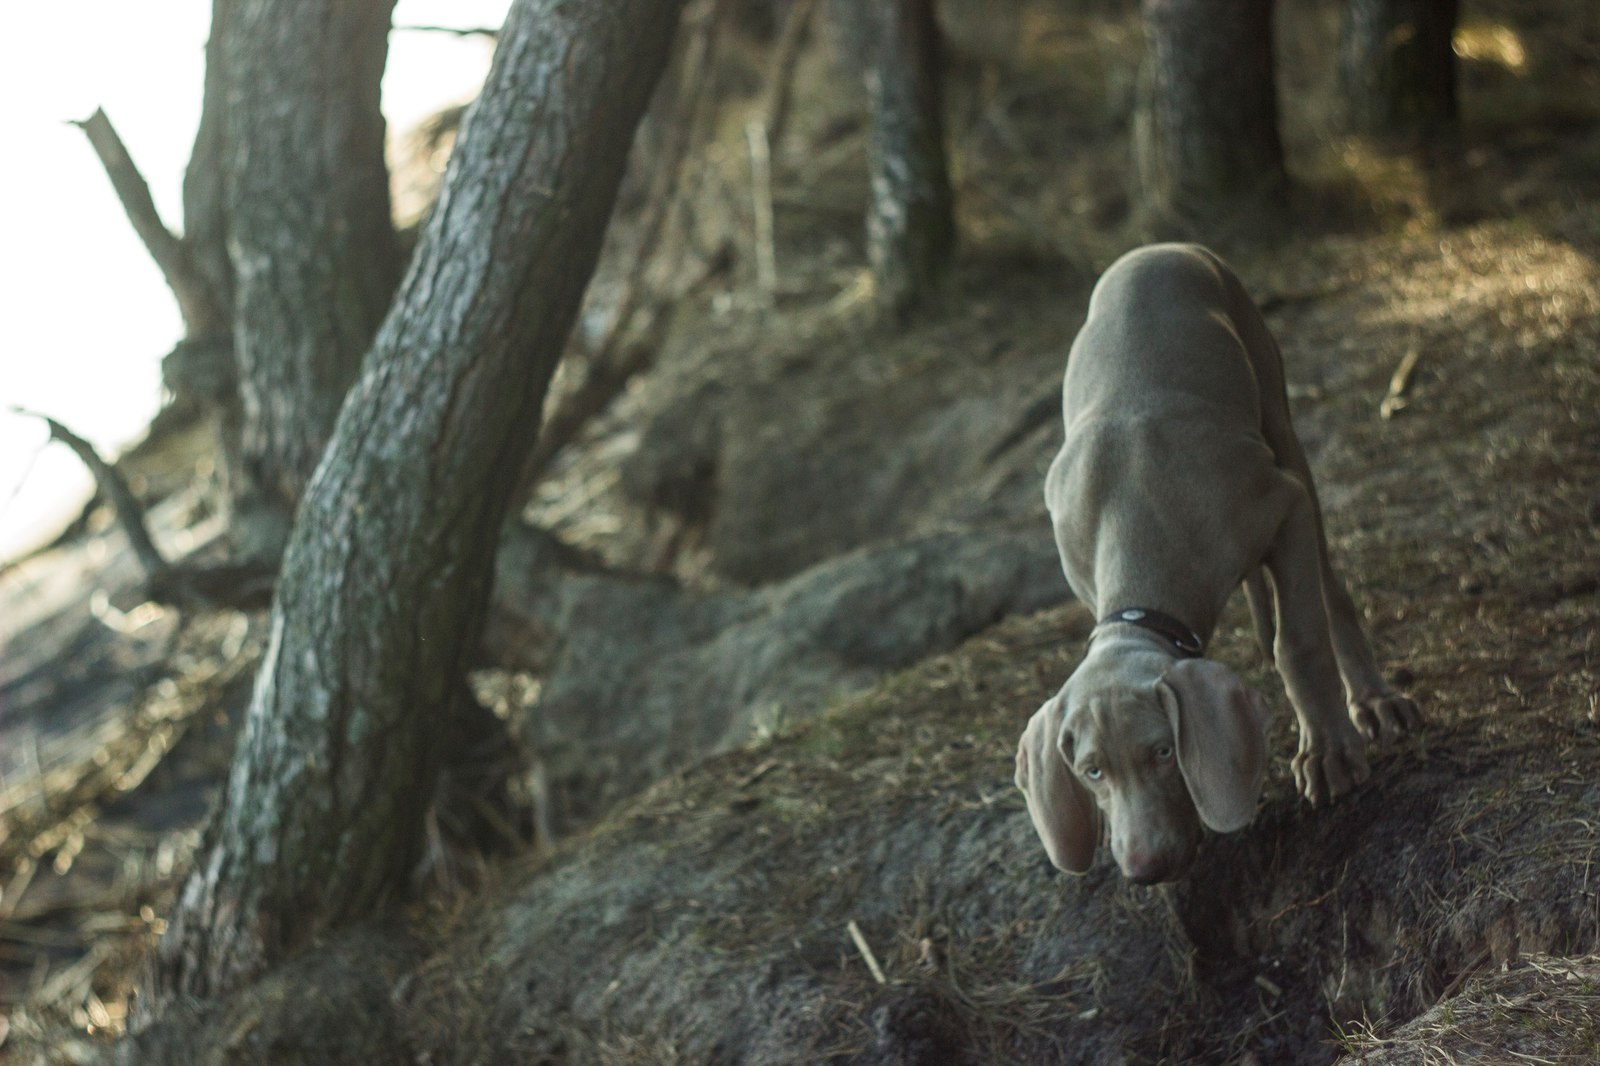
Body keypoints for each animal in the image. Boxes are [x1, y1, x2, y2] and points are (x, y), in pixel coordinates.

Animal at [1017, 240, 1420, 877]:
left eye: (1163, 752)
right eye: (1092, 771)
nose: (1147, 868)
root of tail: (1160, 246)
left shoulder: (1284, 506)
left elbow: (1299, 642)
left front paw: (1327, 752)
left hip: (1277, 412)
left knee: (1327, 583)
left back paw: (1374, 701)